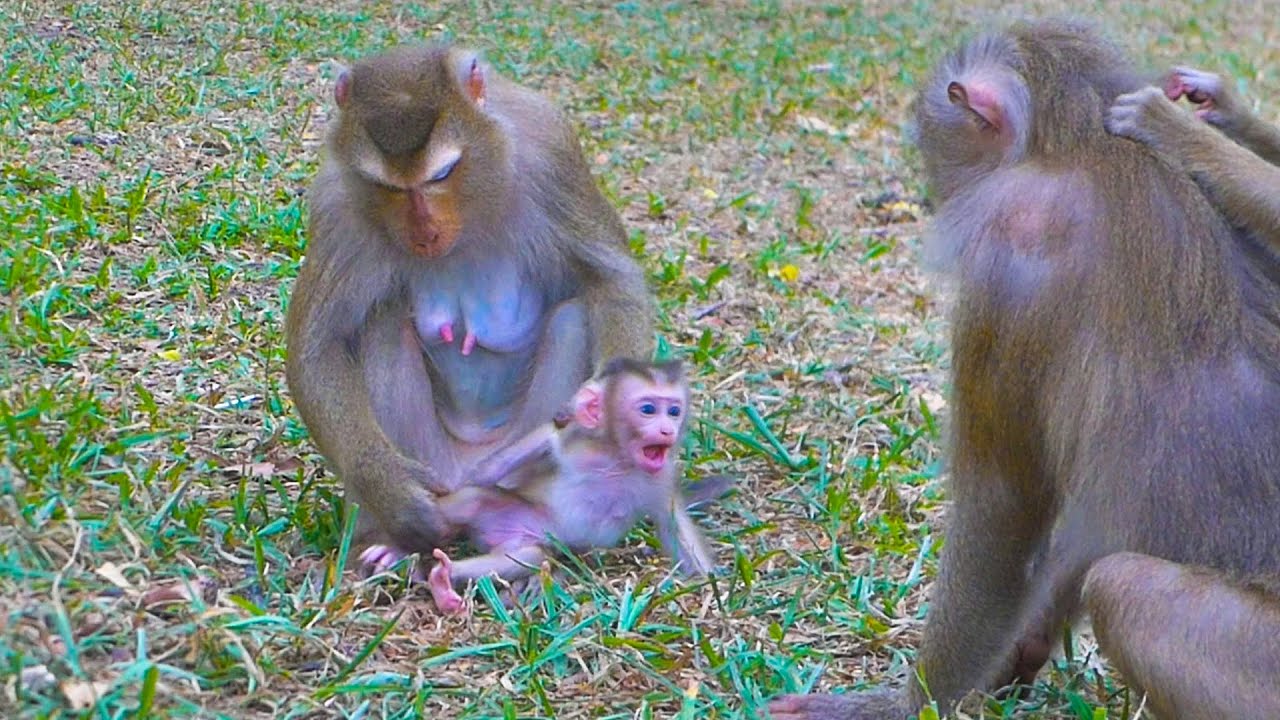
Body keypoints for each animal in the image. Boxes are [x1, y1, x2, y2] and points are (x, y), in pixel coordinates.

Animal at [284, 42, 656, 570]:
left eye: (442, 174)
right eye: (389, 188)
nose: (425, 234)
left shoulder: (552, 152)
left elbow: (611, 279)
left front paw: (608, 409)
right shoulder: (336, 203)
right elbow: (320, 348)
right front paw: (391, 491)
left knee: (573, 320)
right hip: (435, 462)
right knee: (382, 323)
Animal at [360, 358, 716, 615]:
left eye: (674, 410)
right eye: (648, 410)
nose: (668, 429)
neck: (617, 460)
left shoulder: (661, 477)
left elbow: (673, 526)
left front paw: (712, 587)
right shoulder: (573, 446)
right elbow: (491, 470)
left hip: (524, 539)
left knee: (527, 554)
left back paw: (444, 583)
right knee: (473, 501)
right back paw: (407, 555)